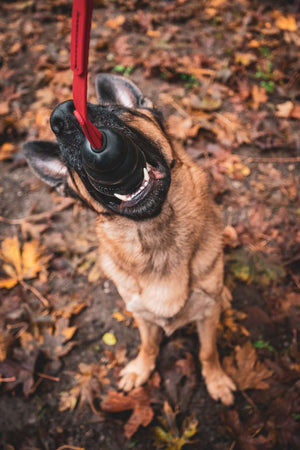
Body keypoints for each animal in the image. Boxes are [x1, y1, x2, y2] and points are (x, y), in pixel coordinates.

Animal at [25, 74, 237, 404]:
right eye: (66, 159)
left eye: (118, 112)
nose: (62, 116)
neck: (156, 233)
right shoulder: (142, 316)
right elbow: (149, 345)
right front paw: (141, 370)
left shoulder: (207, 315)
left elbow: (207, 350)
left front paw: (216, 380)